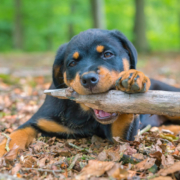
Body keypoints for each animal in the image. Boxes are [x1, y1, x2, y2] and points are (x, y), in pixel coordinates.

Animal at [0, 28, 180, 157]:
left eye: (107, 54)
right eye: (72, 63)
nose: (88, 79)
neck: (83, 114)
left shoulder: (125, 136)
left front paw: (134, 76)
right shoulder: (38, 121)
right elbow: (16, 134)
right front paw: (3, 148)